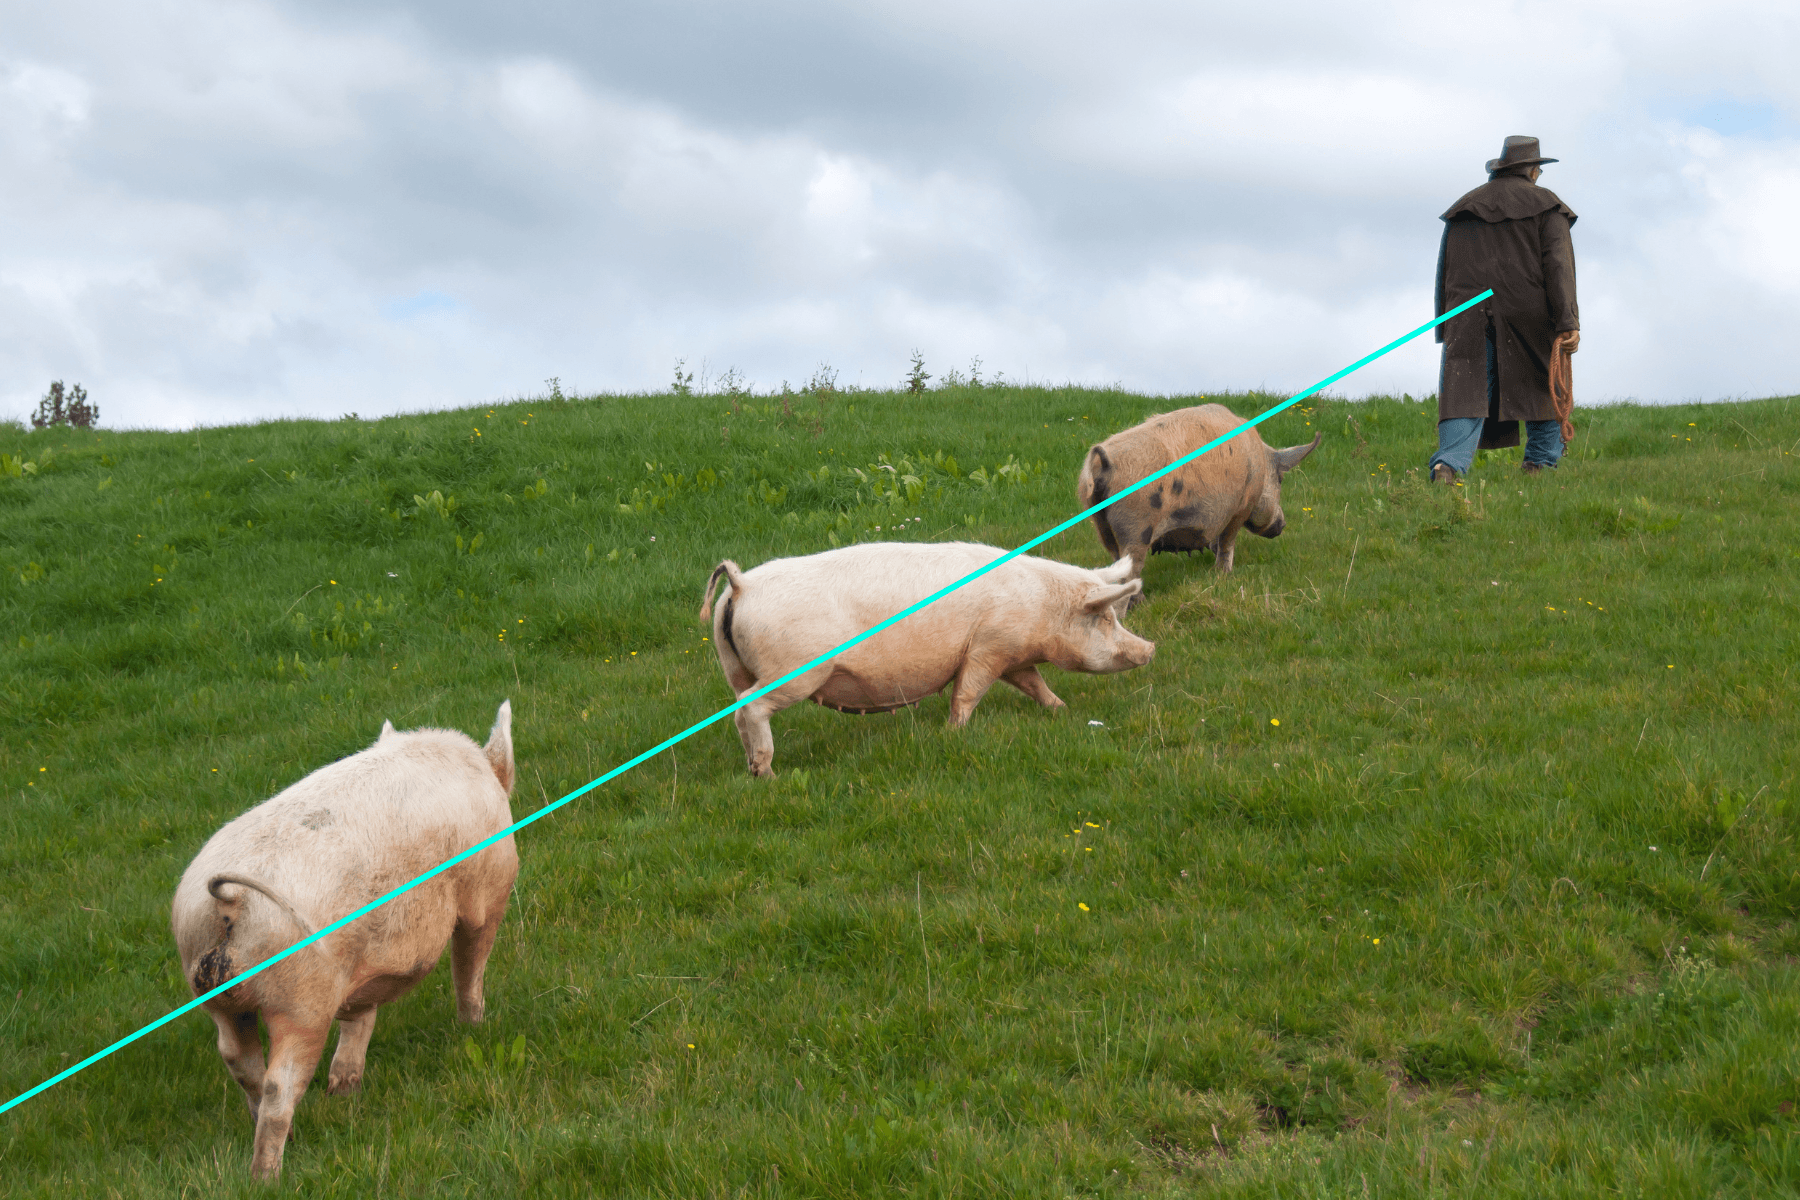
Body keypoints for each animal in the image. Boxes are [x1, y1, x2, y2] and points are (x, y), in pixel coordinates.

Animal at [170, 701, 519, 1180]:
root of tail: (229, 898)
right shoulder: (487, 892)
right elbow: (470, 966)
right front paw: (476, 1029)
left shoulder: (367, 964)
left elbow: (361, 1012)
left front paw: (345, 1089)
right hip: (300, 1003)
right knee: (279, 1085)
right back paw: (267, 1176)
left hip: (214, 997)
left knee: (238, 1061)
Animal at [698, 542, 1154, 777]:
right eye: (1105, 618)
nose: (1150, 649)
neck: (1042, 607)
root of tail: (741, 584)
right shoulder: (989, 646)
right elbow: (968, 690)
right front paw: (954, 732)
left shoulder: (1013, 654)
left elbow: (1034, 682)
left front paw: (1061, 710)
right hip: (795, 671)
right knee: (753, 708)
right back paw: (769, 774)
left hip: (735, 668)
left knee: (737, 711)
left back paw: (752, 769)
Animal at [1076, 404, 1321, 589]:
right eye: (1280, 479)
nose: (1282, 525)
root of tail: (1104, 463)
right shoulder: (1241, 507)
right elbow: (1227, 541)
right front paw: (1223, 573)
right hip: (1136, 525)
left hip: (1100, 524)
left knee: (1115, 560)